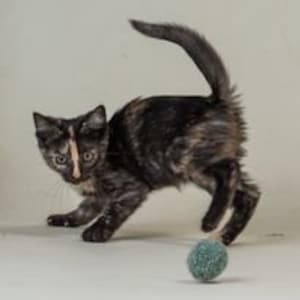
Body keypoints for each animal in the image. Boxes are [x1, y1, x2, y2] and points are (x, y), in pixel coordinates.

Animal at [32, 19, 260, 245]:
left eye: (88, 156)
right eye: (60, 159)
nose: (76, 175)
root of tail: (215, 101)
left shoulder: (132, 187)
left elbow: (112, 211)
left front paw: (97, 232)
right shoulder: (96, 196)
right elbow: (86, 209)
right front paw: (65, 218)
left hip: (181, 156)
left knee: (230, 169)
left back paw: (211, 221)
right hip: (202, 170)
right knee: (249, 193)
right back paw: (225, 236)